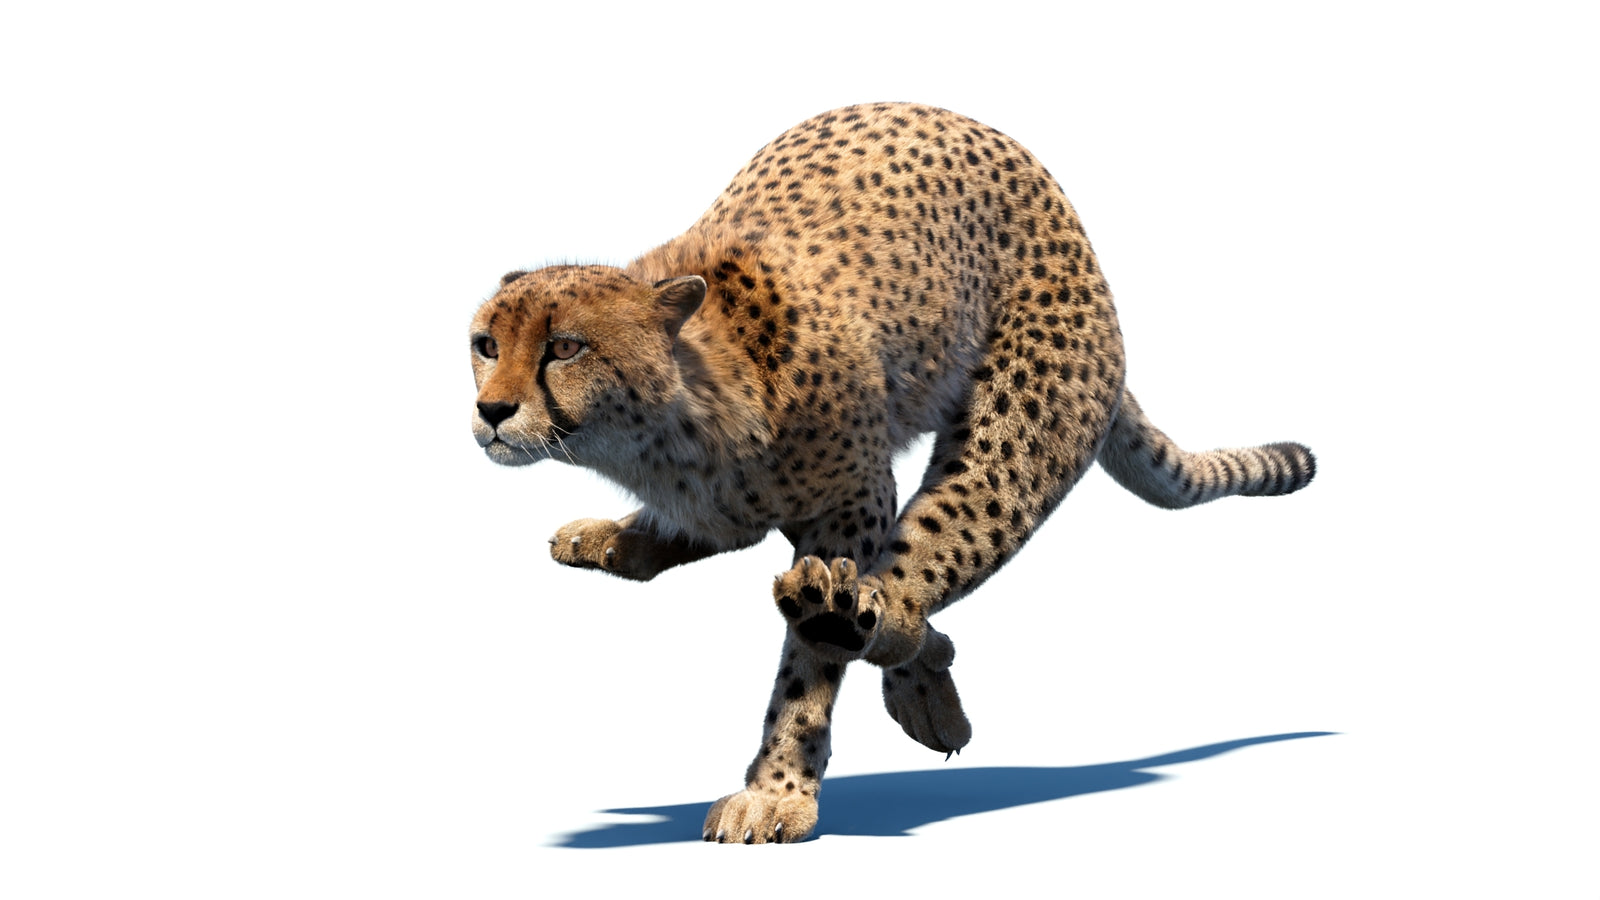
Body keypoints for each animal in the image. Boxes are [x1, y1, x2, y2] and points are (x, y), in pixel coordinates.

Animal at [467, 102, 1316, 844]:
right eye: (485, 344)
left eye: (565, 347)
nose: (491, 410)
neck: (670, 420)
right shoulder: (737, 508)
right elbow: (715, 535)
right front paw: (615, 536)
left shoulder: (857, 500)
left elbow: (813, 663)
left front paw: (779, 789)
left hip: (1017, 425)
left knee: (924, 559)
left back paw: (880, 640)